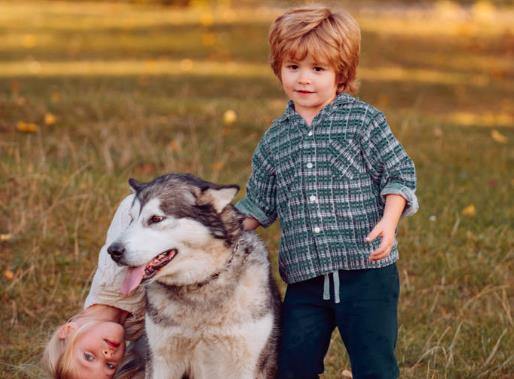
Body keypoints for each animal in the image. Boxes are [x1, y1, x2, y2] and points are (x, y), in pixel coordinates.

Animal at [107, 174, 280, 378]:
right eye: (131, 219)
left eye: (156, 218)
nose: (113, 251)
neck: (200, 285)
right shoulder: (161, 360)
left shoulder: (247, 364)